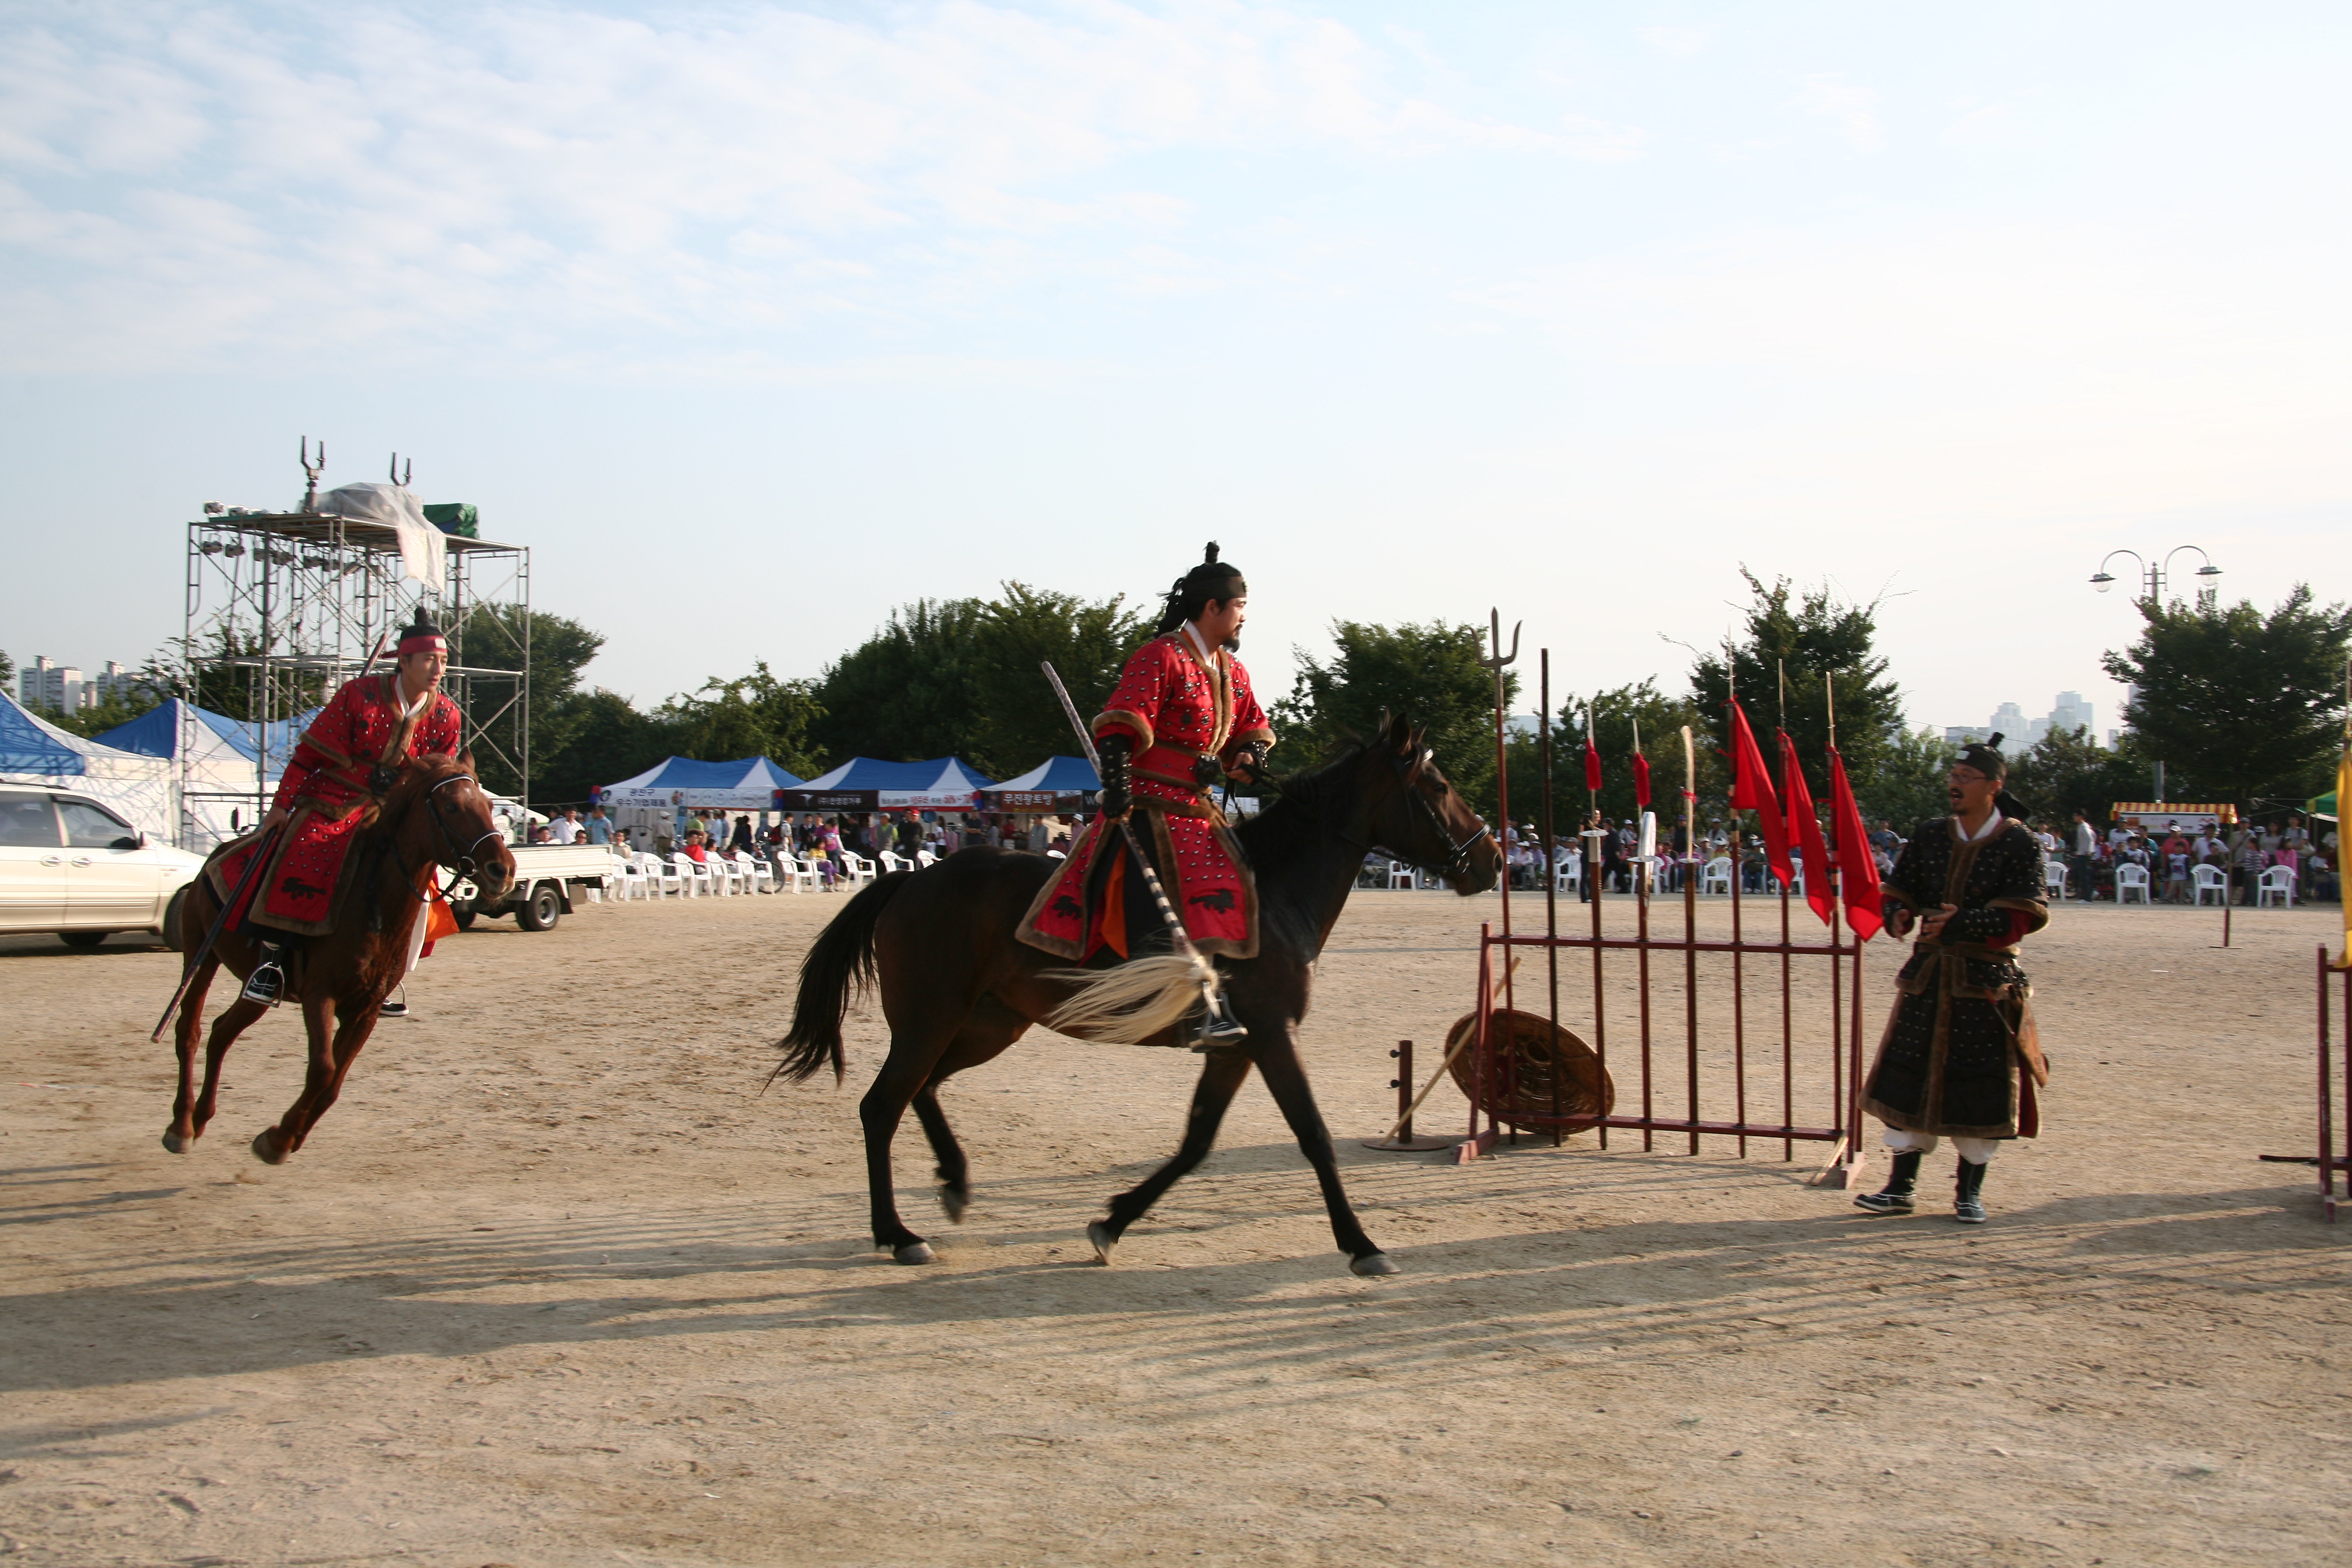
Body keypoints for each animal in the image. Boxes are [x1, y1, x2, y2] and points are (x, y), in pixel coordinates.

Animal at [164, 752, 515, 1171]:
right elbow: (322, 1070)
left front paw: (290, 1136)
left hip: (258, 985)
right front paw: (278, 1140)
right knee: (189, 1030)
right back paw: (181, 1126)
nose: (503, 870)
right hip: (201, 954)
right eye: (451, 807)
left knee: (221, 1032)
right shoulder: (320, 996)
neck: (371, 901)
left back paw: (201, 1117)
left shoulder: (366, 1010)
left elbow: (333, 1085)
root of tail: (214, 857)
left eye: (490, 806)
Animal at [781, 710, 1496, 1279]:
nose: (1489, 858)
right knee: (882, 1105)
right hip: (929, 1019)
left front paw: (1113, 1221)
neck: (1276, 890)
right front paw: (1361, 1243)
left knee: (923, 1089)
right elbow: (1313, 1135)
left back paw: (954, 1182)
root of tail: (909, 880)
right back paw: (897, 1233)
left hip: (988, 1024)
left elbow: (1196, 1142)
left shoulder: (1234, 1046)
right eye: (1437, 786)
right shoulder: (1272, 1034)